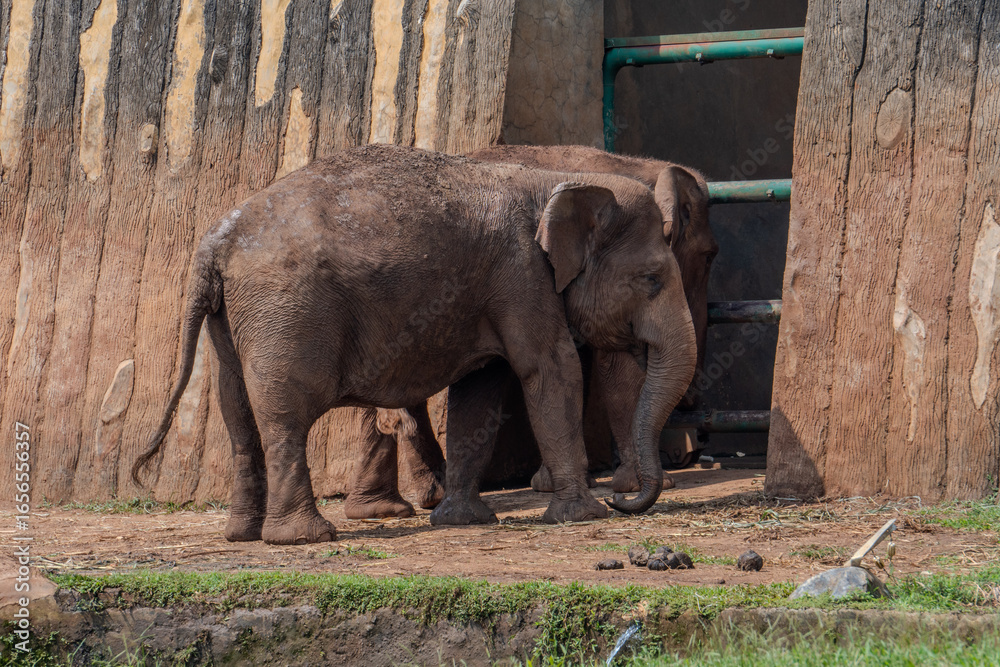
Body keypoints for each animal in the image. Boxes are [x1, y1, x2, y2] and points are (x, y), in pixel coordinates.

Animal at [132, 144, 697, 544]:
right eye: (651, 279)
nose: (625, 502)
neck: (556, 183)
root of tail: (215, 242)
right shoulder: (521, 273)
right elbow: (548, 369)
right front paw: (582, 515)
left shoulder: (493, 288)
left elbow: (481, 388)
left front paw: (463, 521)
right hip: (286, 312)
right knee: (284, 413)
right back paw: (305, 538)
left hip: (230, 319)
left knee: (237, 414)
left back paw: (243, 535)